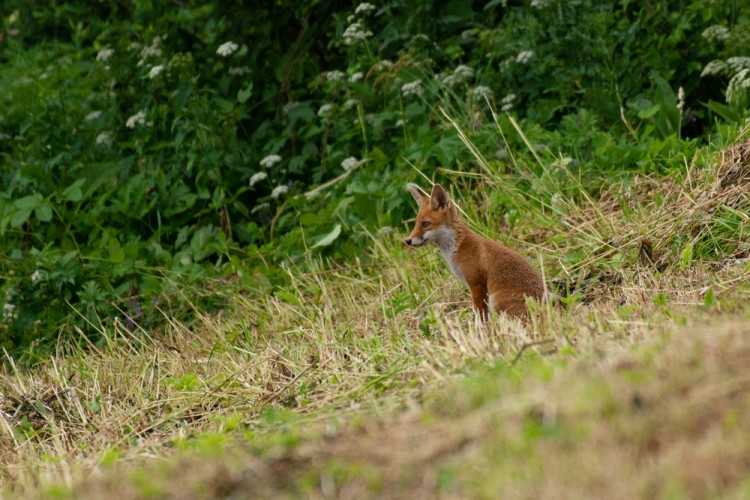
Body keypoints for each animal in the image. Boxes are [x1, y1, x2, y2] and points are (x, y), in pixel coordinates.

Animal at [408, 184, 544, 320]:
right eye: (416, 224)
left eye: (426, 224)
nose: (407, 240)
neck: (456, 249)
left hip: (496, 300)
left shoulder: (476, 284)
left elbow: (479, 314)